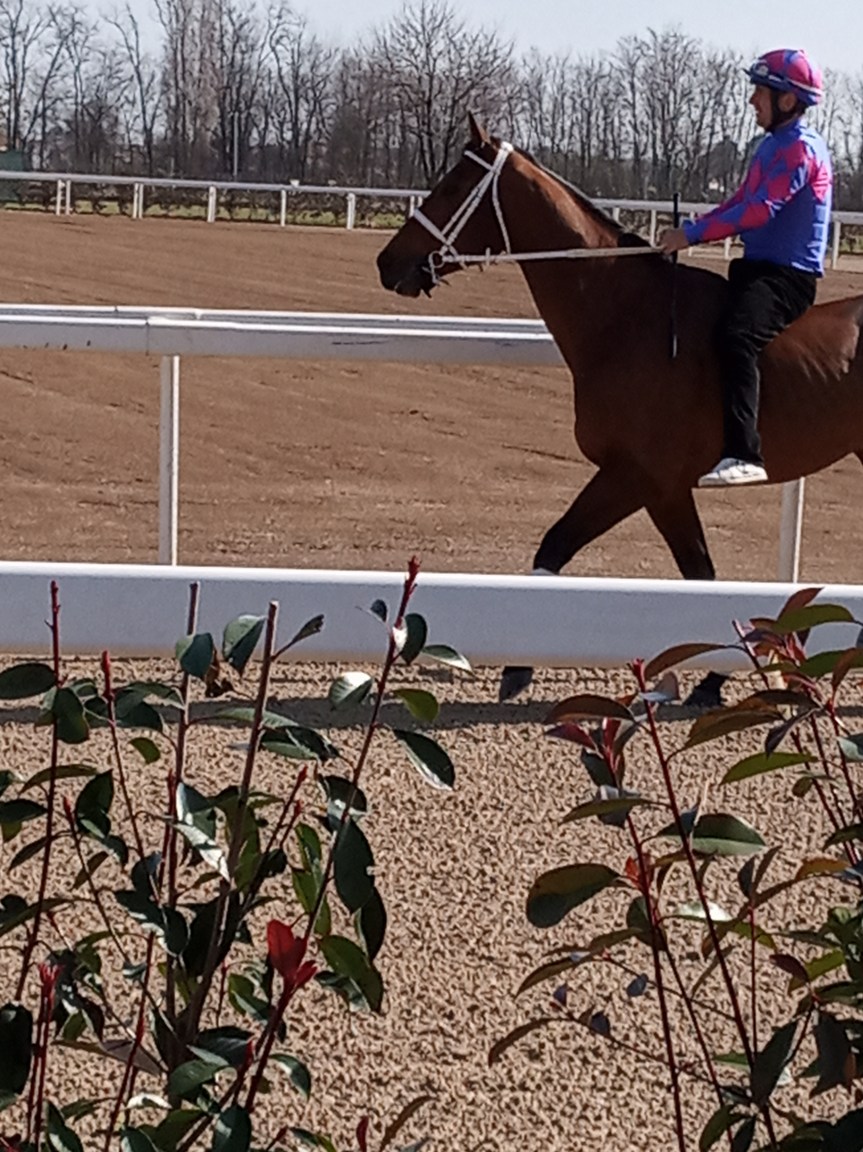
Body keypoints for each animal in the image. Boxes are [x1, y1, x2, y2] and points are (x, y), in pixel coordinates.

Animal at [376, 114, 863, 706]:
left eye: (451, 186)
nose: (387, 262)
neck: (628, 318)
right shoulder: (657, 486)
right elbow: (687, 571)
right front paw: (713, 678)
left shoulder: (640, 477)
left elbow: (571, 544)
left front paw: (519, 668)